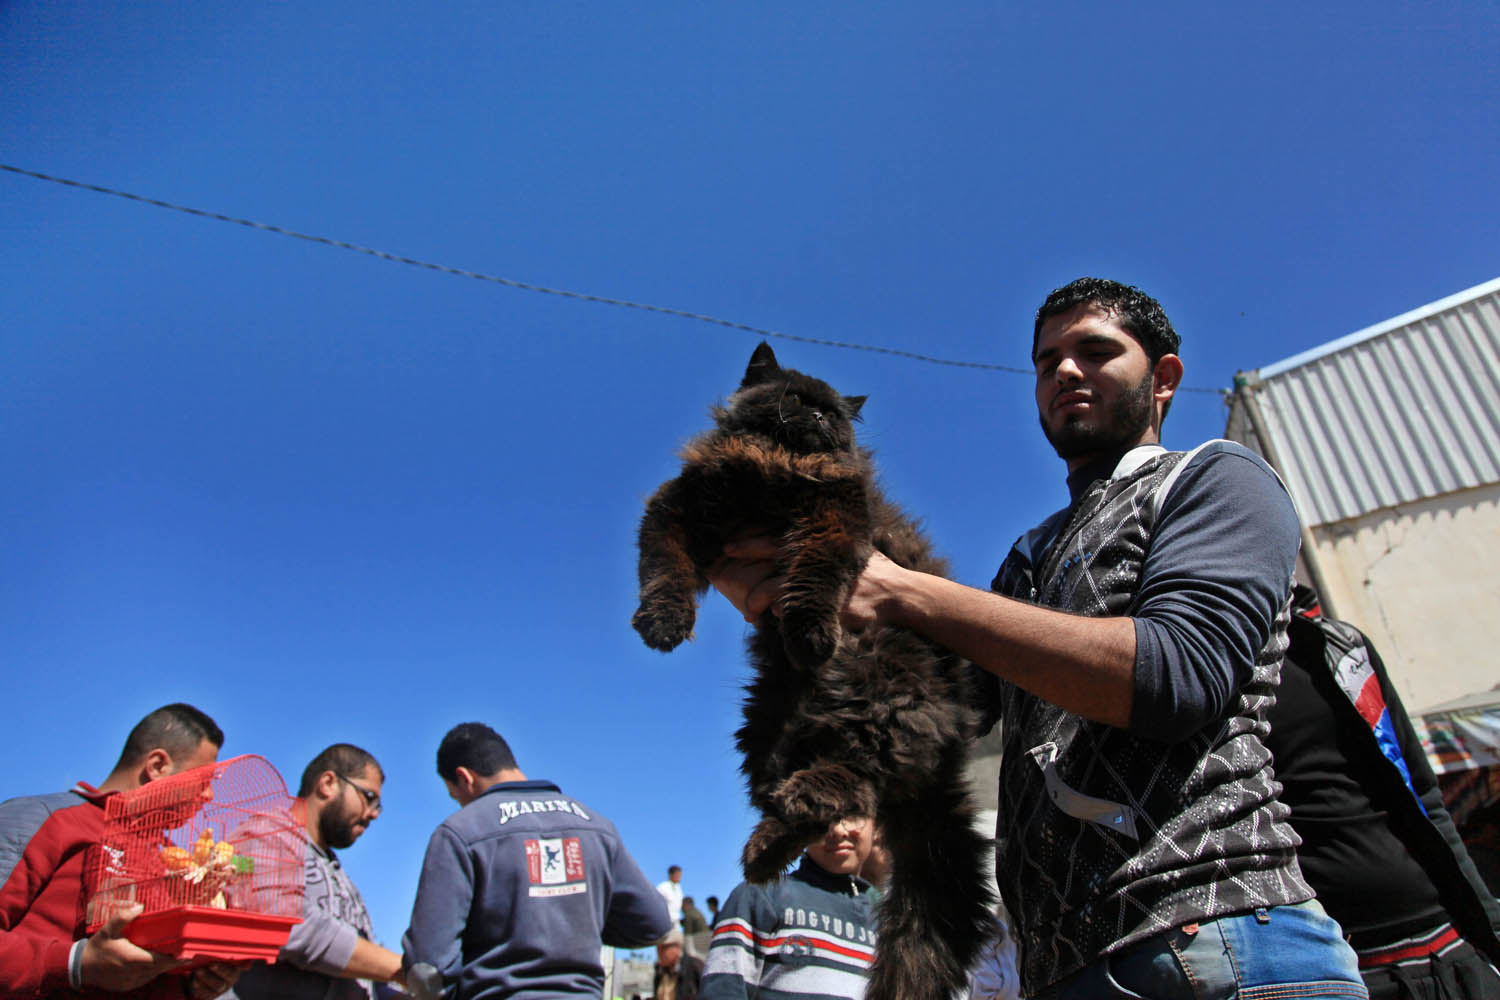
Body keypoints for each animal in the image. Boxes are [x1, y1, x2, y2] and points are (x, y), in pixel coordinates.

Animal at [633, 341, 996, 1000]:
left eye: (835, 414)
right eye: (797, 399)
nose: (823, 419)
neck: (774, 470)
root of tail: (953, 738)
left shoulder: (835, 516)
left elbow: (813, 579)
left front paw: (809, 635)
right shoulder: (682, 504)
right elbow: (664, 569)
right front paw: (662, 626)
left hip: (883, 697)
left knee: (855, 780)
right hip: (762, 733)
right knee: (797, 804)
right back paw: (761, 855)